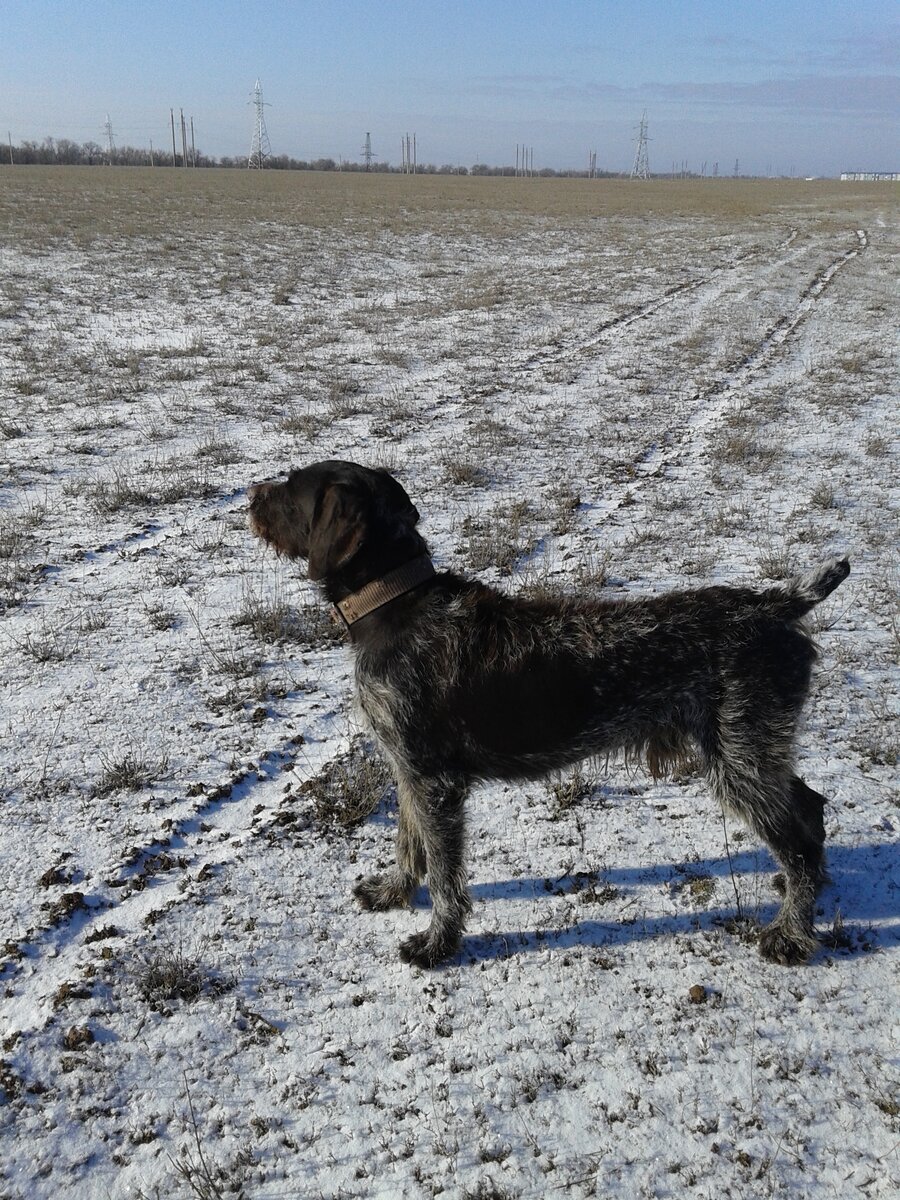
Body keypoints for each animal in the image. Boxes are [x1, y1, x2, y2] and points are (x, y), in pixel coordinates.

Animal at [248, 458, 854, 964]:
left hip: (738, 758)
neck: (393, 602)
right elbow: (408, 840)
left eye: (292, 489)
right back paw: (802, 891)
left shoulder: (434, 780)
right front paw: (395, 890)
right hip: (752, 751)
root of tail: (776, 603)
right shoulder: (408, 769)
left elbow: (443, 872)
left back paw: (792, 933)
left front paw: (438, 941)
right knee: (809, 806)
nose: (251, 494)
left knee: (798, 844)